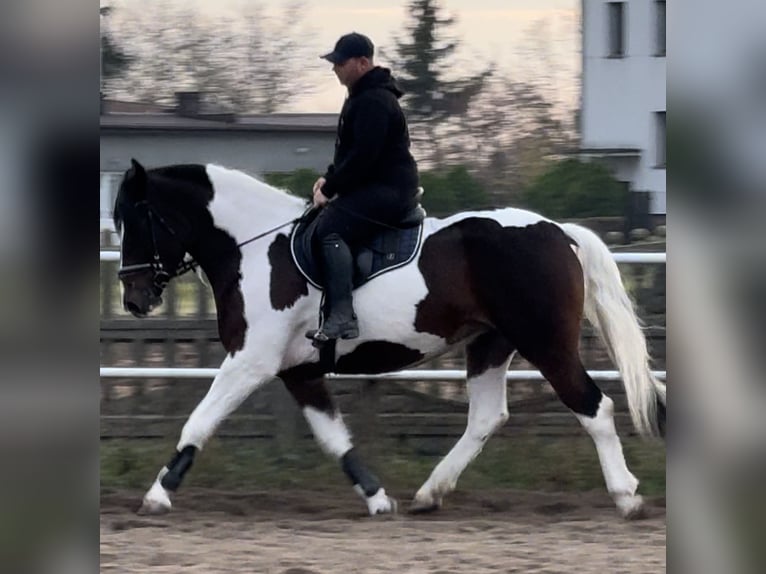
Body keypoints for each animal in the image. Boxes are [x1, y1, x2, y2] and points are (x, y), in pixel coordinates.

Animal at [112, 160, 664, 520]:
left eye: (136, 219)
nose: (134, 298)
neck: (253, 249)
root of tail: (559, 232)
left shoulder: (250, 362)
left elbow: (198, 422)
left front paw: (157, 495)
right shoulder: (298, 370)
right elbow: (334, 438)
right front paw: (378, 499)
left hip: (545, 342)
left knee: (594, 407)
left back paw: (627, 496)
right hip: (491, 344)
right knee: (487, 418)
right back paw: (429, 493)